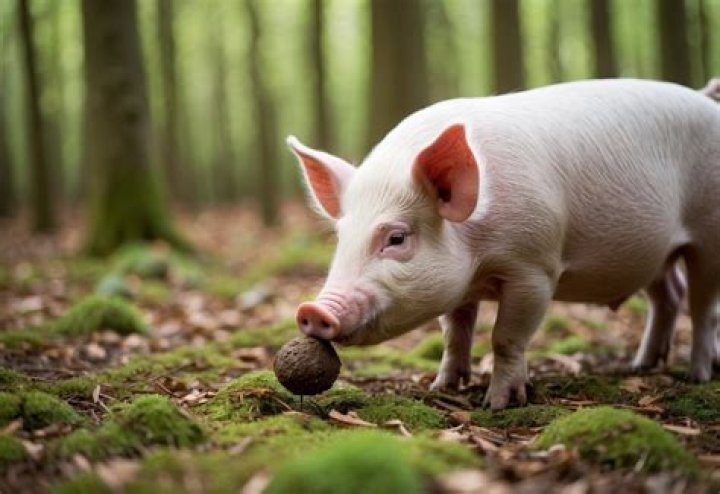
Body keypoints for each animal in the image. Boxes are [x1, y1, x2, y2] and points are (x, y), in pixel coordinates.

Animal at [286, 79, 720, 410]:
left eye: (396, 238)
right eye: (341, 237)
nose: (312, 310)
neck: (480, 258)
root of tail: (703, 97)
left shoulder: (535, 268)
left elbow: (506, 337)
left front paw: (497, 404)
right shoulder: (461, 285)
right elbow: (454, 332)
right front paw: (442, 386)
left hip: (708, 236)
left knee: (702, 307)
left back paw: (697, 376)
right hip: (655, 254)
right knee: (668, 294)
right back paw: (639, 367)